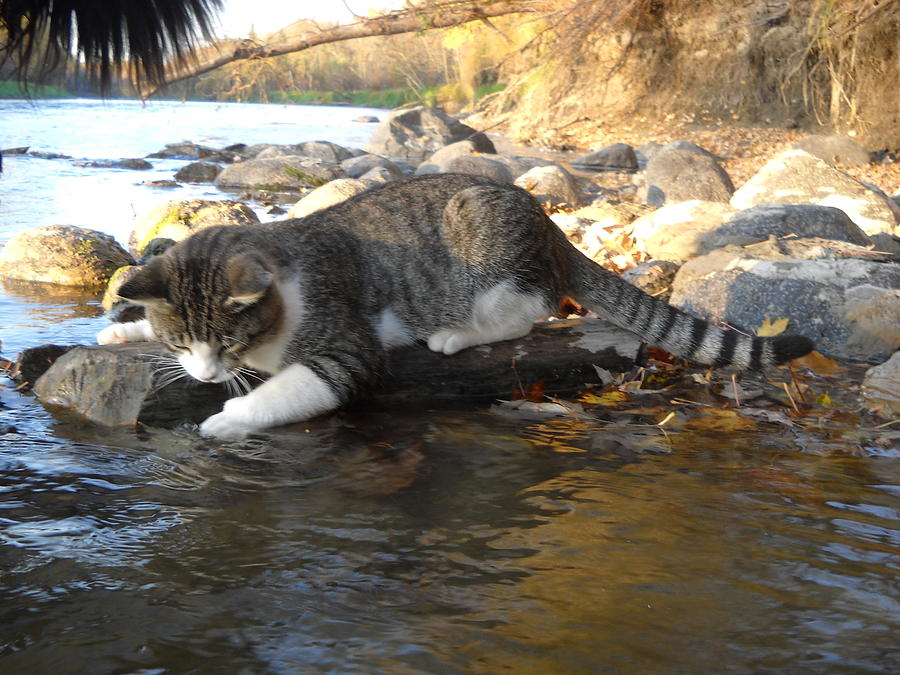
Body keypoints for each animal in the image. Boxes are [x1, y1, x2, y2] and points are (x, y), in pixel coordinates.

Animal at [100, 173, 816, 438]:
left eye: (230, 343)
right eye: (183, 342)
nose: (203, 373)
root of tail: (547, 223)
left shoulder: (346, 346)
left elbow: (297, 387)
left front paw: (228, 419)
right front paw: (124, 335)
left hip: (489, 253)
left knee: (531, 308)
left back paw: (455, 334)